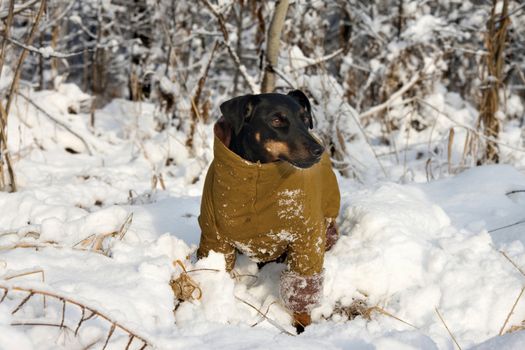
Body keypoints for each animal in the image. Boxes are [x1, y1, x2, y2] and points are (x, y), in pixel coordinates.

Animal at [196, 89, 340, 332]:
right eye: (276, 120)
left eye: (305, 119)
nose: (319, 150)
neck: (258, 175)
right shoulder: (214, 237)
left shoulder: (307, 239)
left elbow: (302, 286)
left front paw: (301, 326)